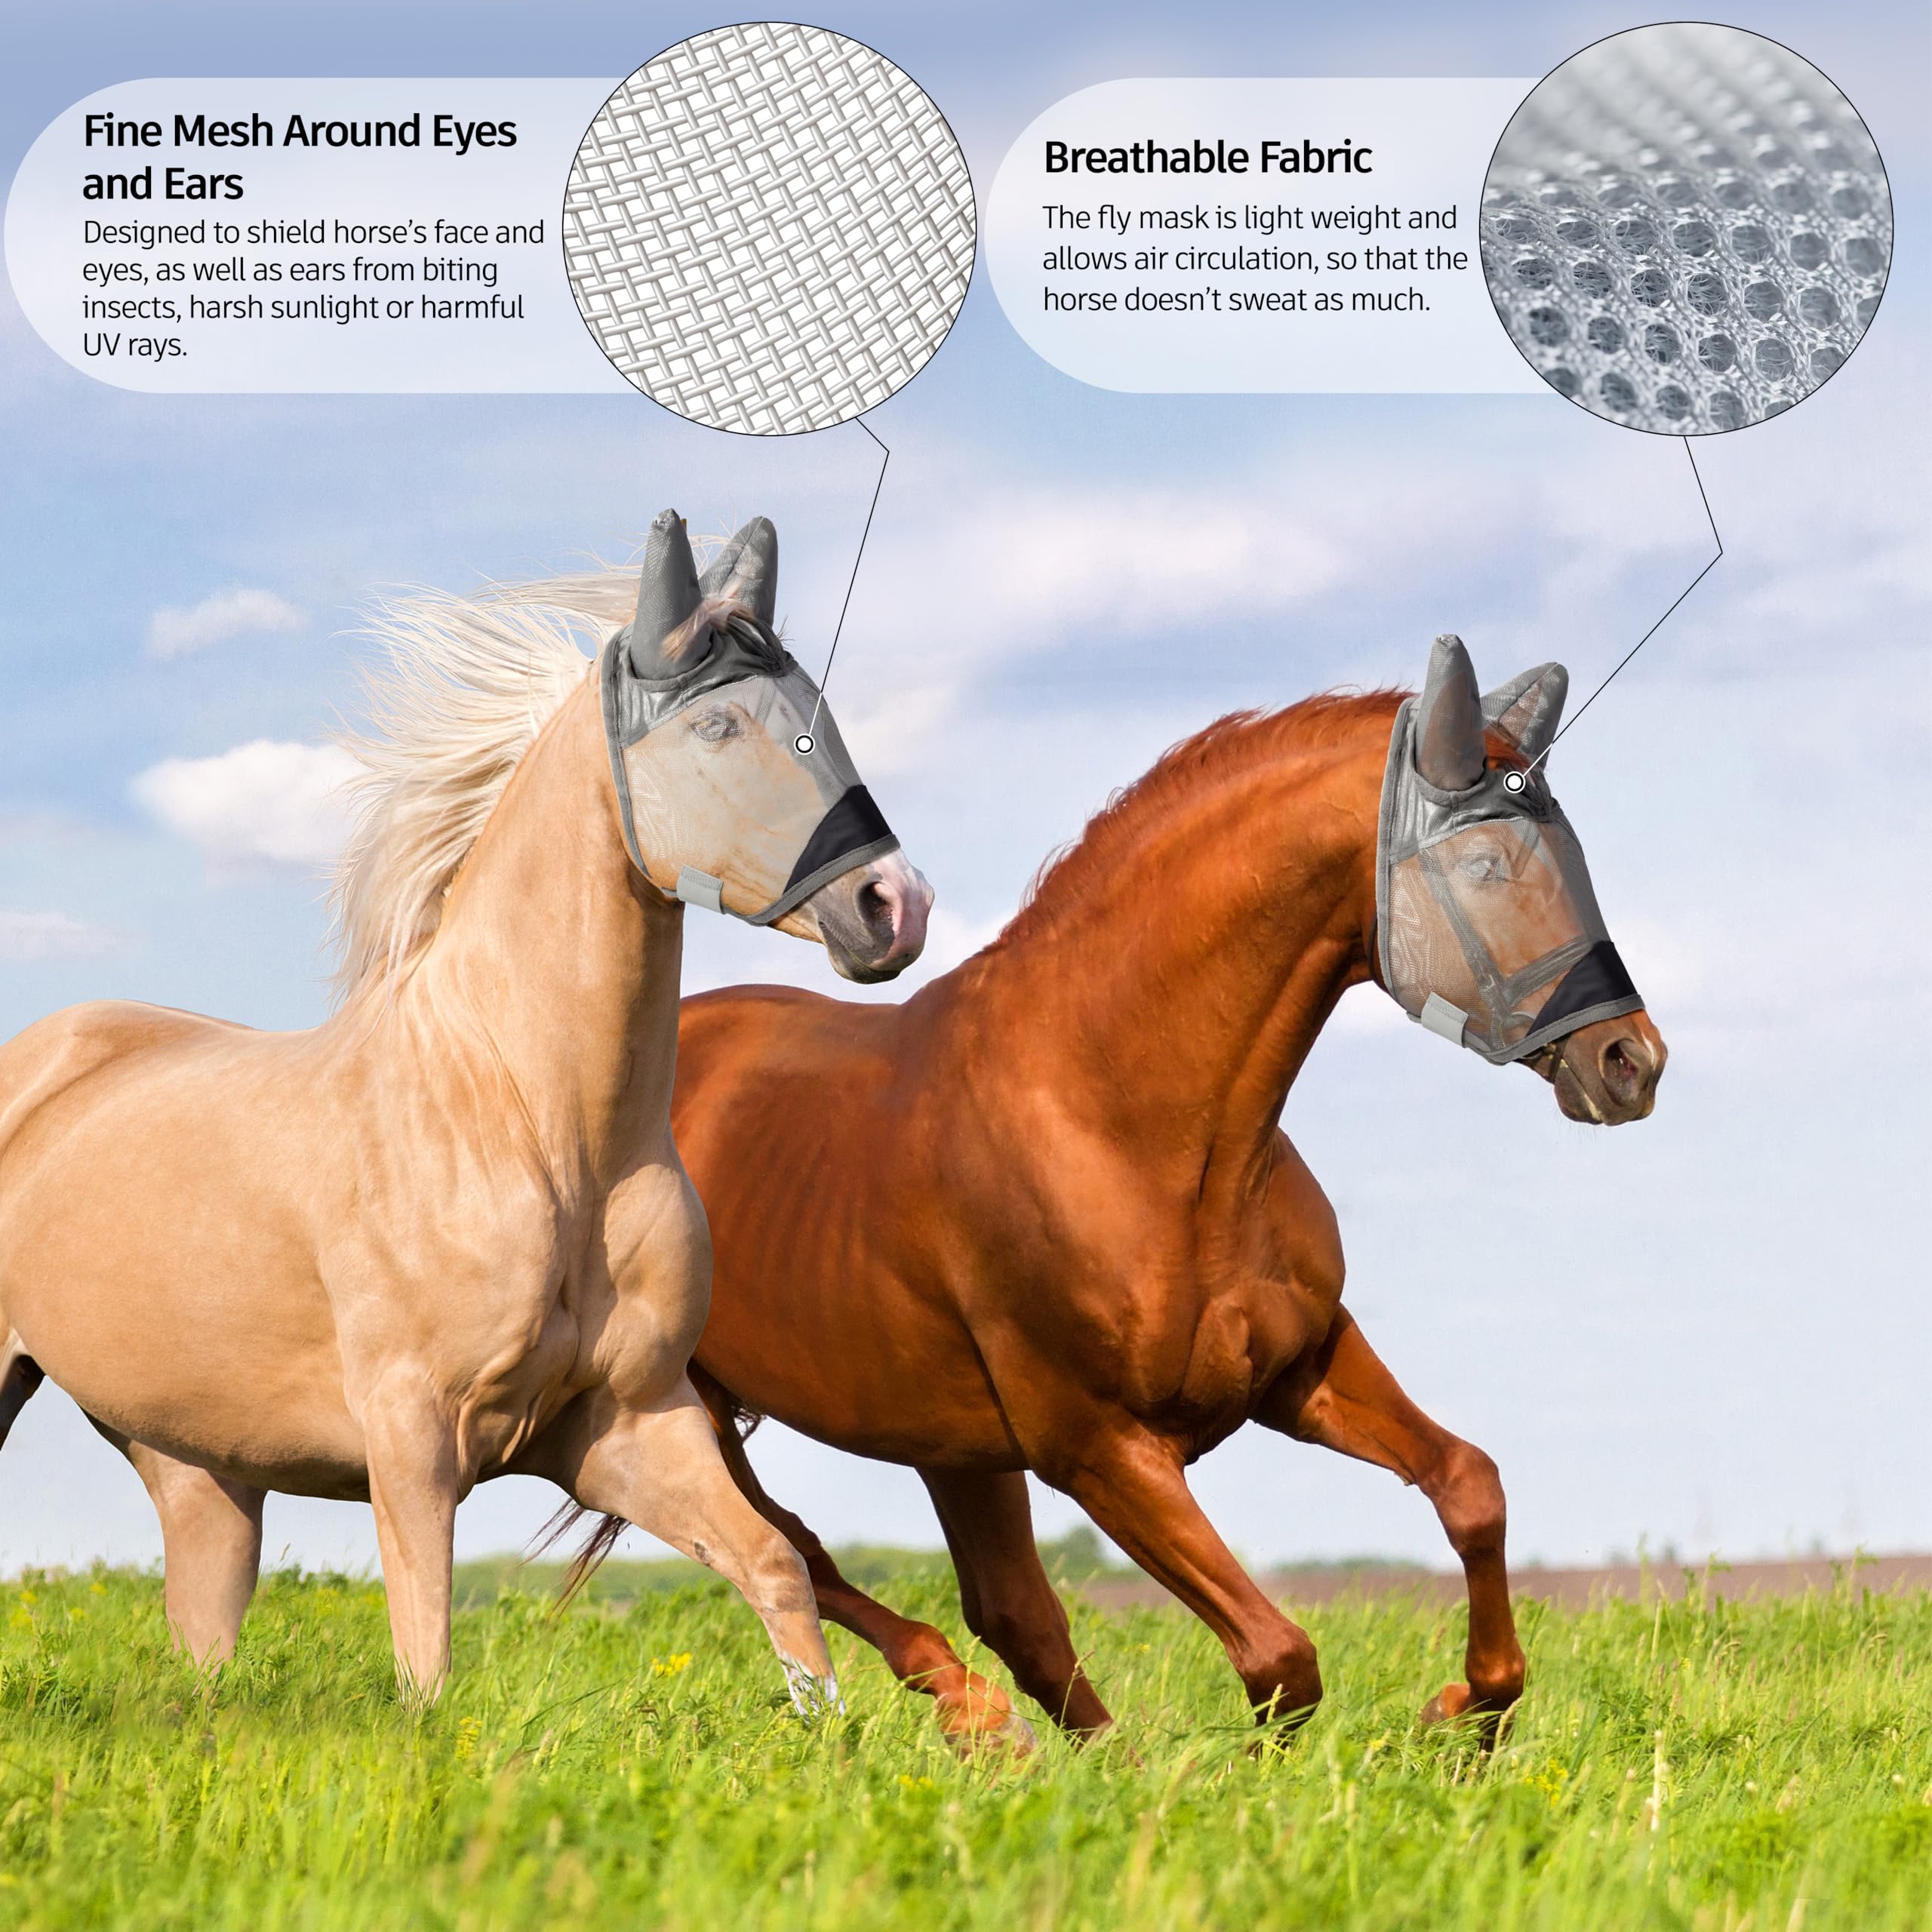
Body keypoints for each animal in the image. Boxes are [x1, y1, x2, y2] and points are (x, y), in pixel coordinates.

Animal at [0, 510, 932, 1713]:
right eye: (720, 722)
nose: (893, 907)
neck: (530, 1127)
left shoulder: (629, 1423)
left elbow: (776, 1570)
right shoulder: (411, 1437)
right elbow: (427, 1657)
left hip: (198, 1469)